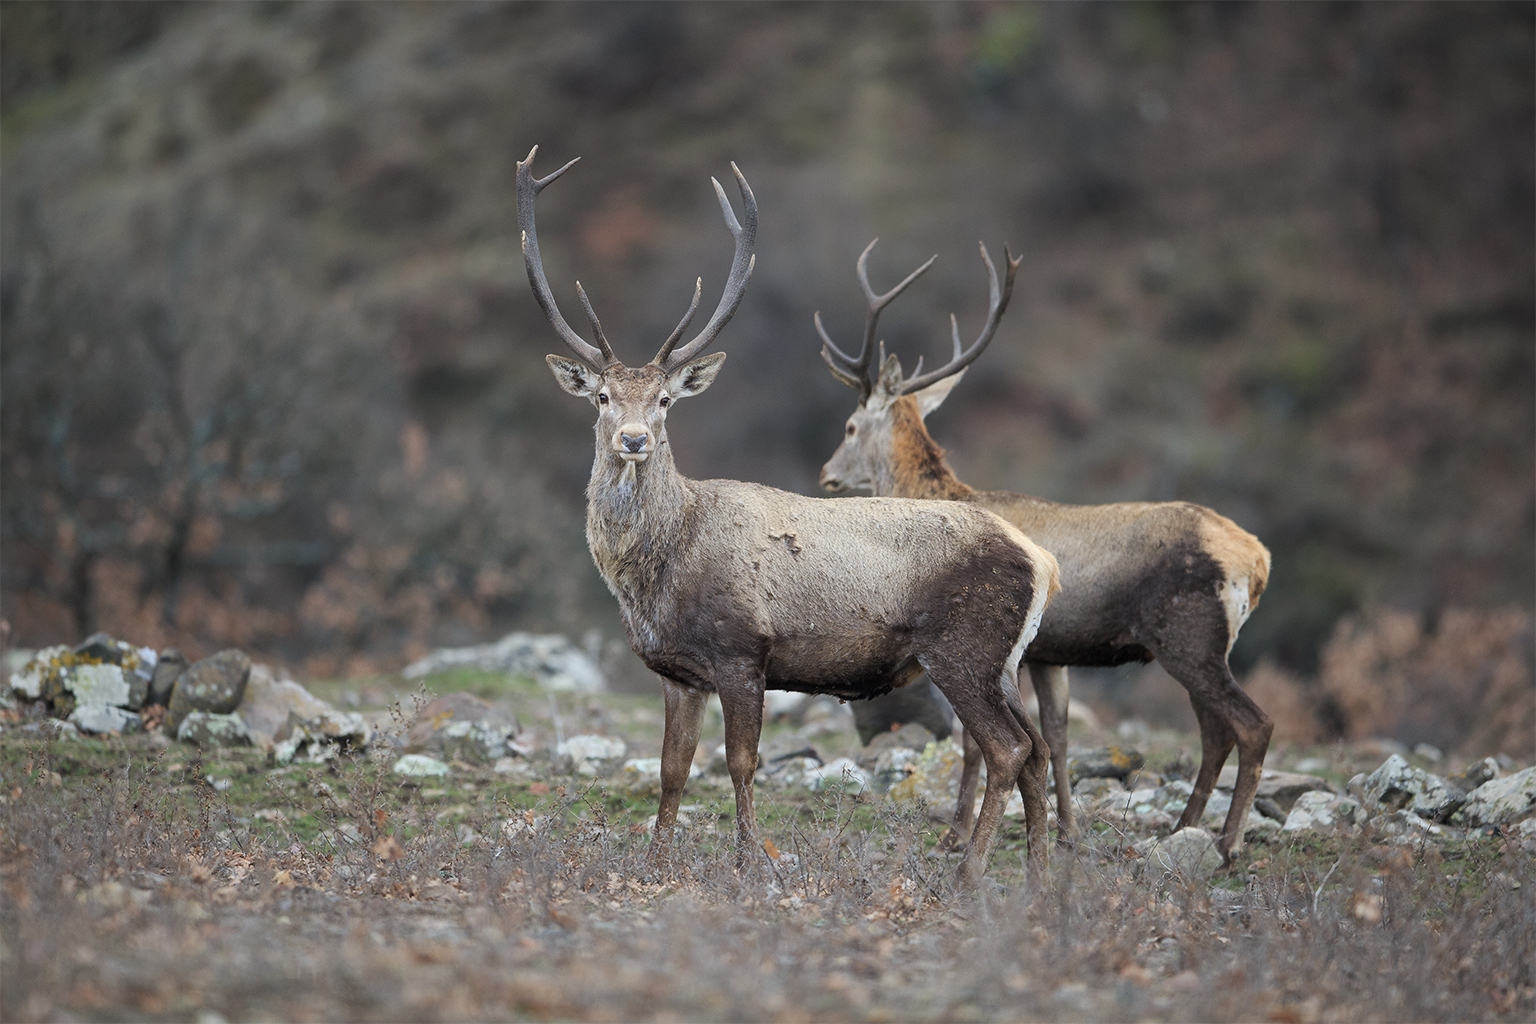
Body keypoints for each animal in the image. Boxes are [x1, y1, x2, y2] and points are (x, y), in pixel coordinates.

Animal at [522, 145, 1062, 890]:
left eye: (664, 400)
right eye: (602, 396)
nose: (632, 439)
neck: (658, 570)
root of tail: (1041, 560)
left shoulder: (742, 651)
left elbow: (740, 763)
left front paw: (752, 862)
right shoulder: (676, 672)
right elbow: (671, 768)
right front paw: (656, 862)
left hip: (964, 648)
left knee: (1008, 748)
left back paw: (970, 873)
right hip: (1004, 661)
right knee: (1036, 749)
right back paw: (1038, 880)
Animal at [823, 241, 1277, 865]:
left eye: (848, 426)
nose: (827, 475)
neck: (941, 494)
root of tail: (1256, 560)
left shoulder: (1010, 652)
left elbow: (977, 744)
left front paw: (955, 833)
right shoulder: (1048, 654)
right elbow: (1057, 737)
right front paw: (1067, 833)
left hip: (1188, 637)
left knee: (1251, 725)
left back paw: (1228, 843)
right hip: (1204, 647)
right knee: (1215, 734)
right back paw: (1183, 828)